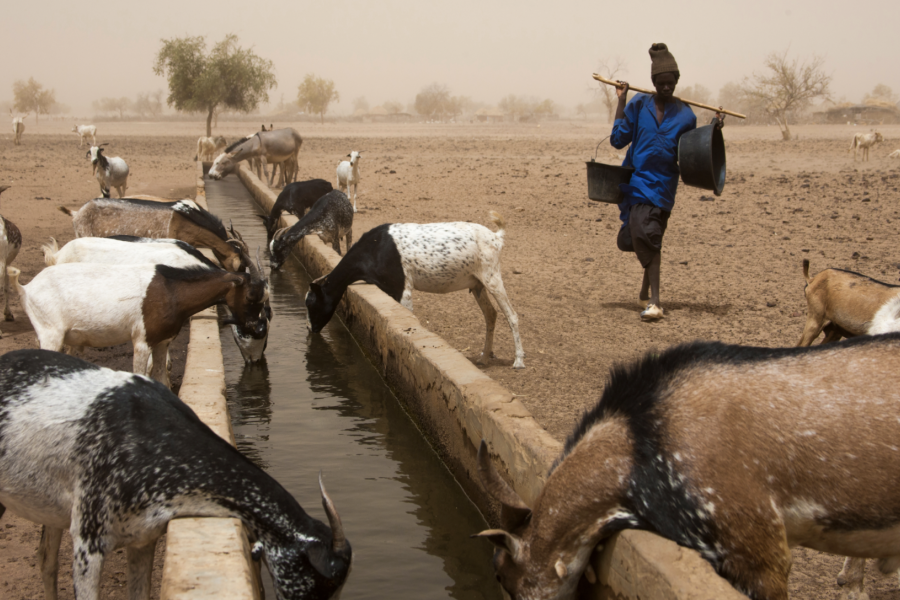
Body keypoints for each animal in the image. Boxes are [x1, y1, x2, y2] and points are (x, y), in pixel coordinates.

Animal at [306, 211, 524, 370]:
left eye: (311, 303)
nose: (310, 329)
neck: (374, 249)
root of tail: (496, 237)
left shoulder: (403, 289)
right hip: (477, 284)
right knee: (491, 314)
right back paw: (484, 358)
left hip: (491, 276)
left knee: (512, 315)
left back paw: (518, 361)